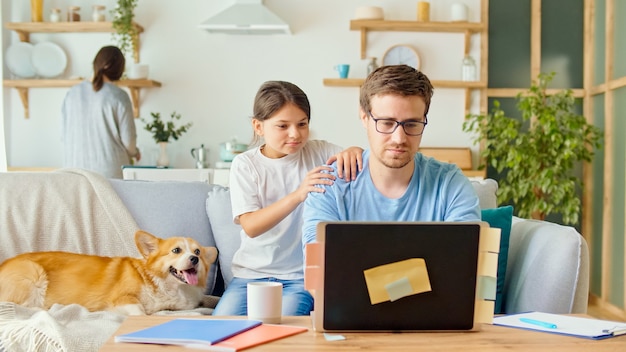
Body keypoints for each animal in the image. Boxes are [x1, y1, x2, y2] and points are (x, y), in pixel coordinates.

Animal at [0, 230, 217, 314]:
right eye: (176, 250)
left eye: (197, 251)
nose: (195, 259)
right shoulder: (122, 299)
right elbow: (140, 311)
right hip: (33, 274)